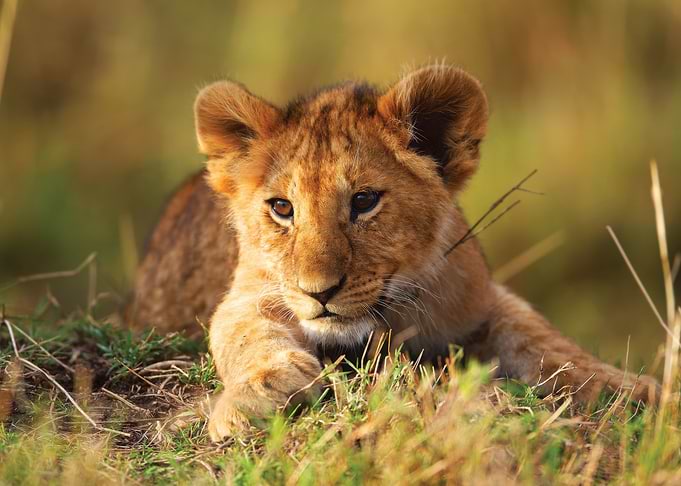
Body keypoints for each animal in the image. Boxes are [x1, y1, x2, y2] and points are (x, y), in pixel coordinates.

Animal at [127, 65, 659, 441]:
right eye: (281, 208)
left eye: (364, 201)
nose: (319, 292)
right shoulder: (250, 291)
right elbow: (245, 333)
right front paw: (255, 395)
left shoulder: (482, 300)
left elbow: (547, 342)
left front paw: (637, 390)